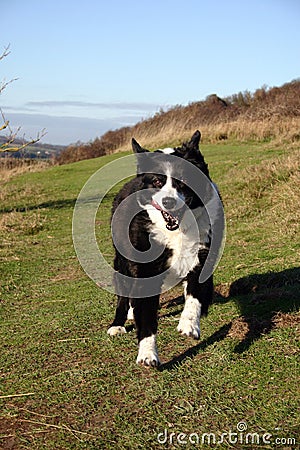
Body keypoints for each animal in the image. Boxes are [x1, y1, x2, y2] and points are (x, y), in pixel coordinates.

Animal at [107, 129, 223, 366]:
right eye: (157, 181)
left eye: (184, 179)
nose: (169, 202)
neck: (176, 232)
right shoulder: (144, 270)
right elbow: (146, 317)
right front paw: (147, 354)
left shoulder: (202, 259)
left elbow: (195, 296)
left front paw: (189, 324)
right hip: (122, 263)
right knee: (124, 294)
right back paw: (118, 323)